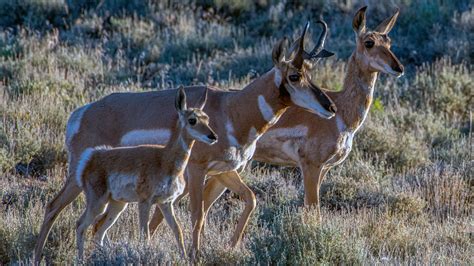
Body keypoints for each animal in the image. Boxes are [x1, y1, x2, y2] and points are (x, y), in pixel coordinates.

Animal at [74, 87, 217, 260]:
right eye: (192, 120)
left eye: (207, 119)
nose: (213, 136)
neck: (165, 159)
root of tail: (91, 158)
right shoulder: (144, 202)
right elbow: (145, 233)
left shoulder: (166, 203)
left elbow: (178, 231)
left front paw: (184, 258)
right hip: (98, 203)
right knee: (81, 225)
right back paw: (81, 259)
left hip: (117, 205)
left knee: (99, 230)